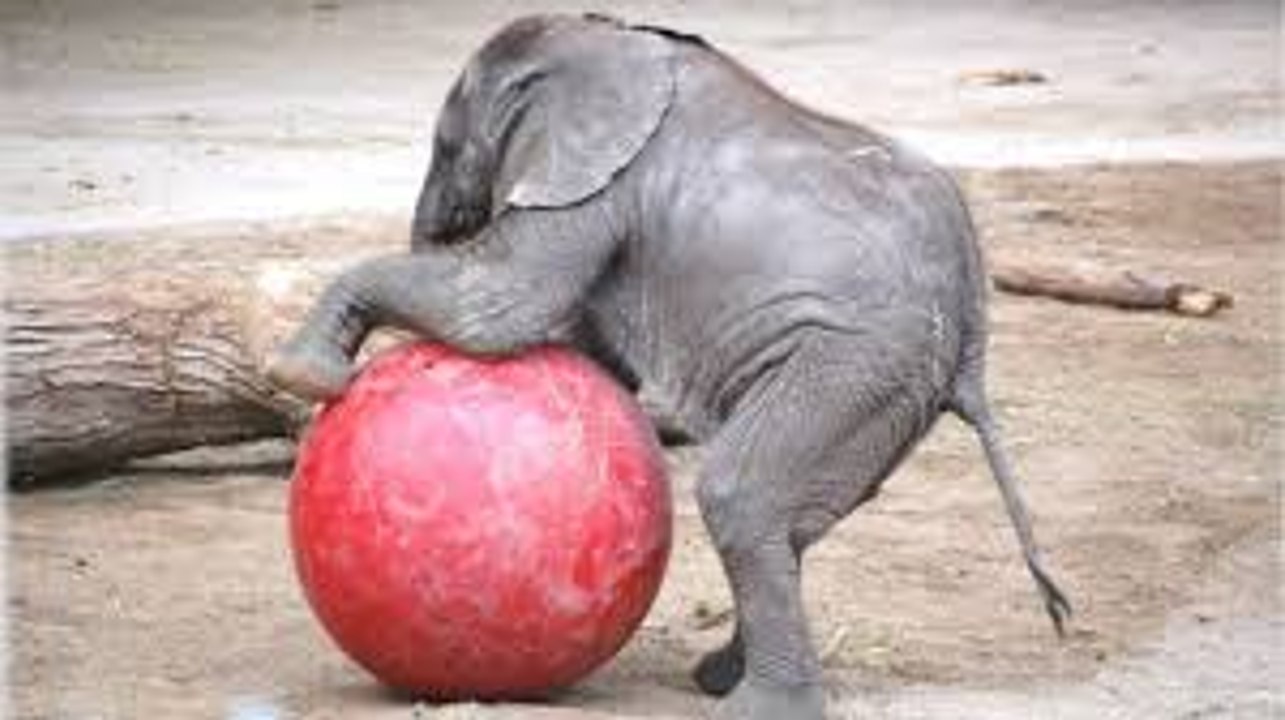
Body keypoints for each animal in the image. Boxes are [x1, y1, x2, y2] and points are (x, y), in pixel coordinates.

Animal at [267, 14, 1070, 719]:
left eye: (443, 144)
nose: (438, 225)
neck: (597, 39)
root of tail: (972, 328)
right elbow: (563, 331)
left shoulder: (595, 184)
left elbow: (497, 306)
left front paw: (298, 375)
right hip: (885, 390)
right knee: (790, 520)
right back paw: (718, 677)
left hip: (856, 362)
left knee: (741, 495)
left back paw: (751, 707)